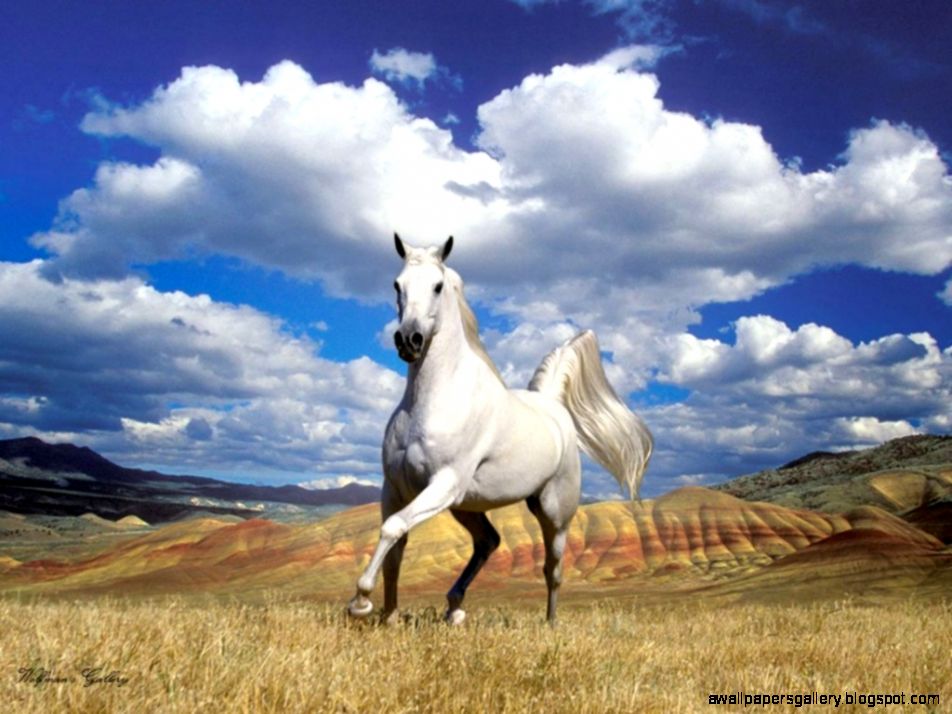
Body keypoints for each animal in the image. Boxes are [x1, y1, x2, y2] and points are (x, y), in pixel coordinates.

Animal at [347, 234, 653, 625]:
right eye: (397, 284)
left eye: (438, 285)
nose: (408, 340)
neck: (430, 402)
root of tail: (553, 406)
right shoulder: (396, 488)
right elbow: (395, 548)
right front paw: (388, 618)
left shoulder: (443, 483)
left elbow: (393, 528)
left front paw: (361, 602)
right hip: (466, 505)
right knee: (488, 541)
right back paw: (454, 608)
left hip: (553, 512)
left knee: (553, 569)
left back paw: (549, 624)